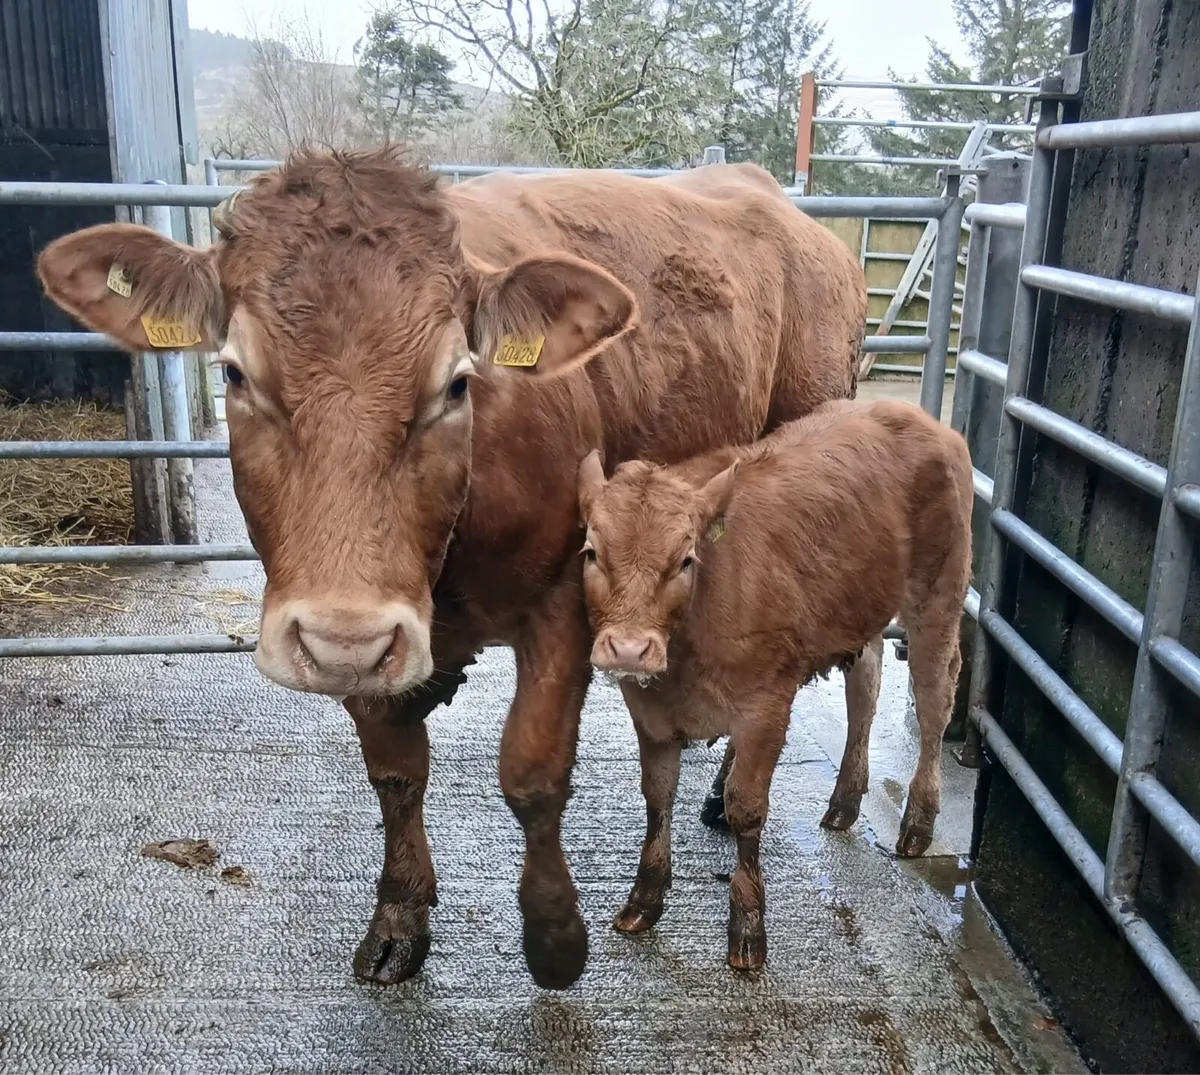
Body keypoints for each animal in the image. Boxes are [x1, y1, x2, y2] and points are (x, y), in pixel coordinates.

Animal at [35, 147, 868, 991]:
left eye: (458, 381)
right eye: (236, 374)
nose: (341, 640)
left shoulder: (565, 596)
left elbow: (532, 772)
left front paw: (555, 937)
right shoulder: (370, 632)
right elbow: (396, 773)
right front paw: (400, 914)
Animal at [576, 399, 973, 970]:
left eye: (686, 559)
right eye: (591, 552)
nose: (629, 649)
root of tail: (907, 410)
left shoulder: (766, 706)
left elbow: (746, 808)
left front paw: (747, 926)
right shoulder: (648, 709)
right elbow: (657, 797)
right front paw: (643, 900)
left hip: (938, 594)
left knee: (934, 701)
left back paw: (918, 822)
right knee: (865, 687)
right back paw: (845, 800)